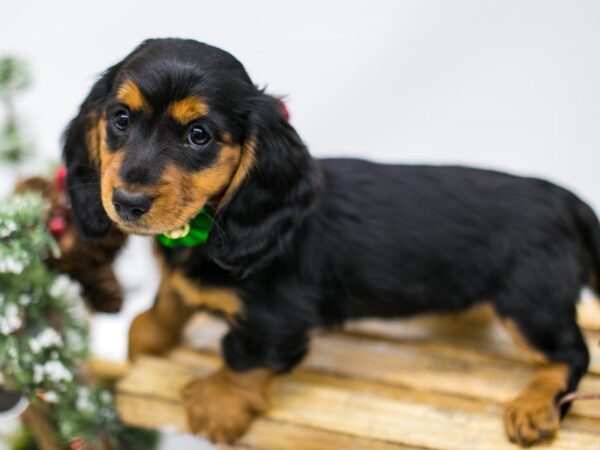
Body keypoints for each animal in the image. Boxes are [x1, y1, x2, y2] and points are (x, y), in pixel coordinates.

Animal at [62, 39, 600, 446]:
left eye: (199, 135)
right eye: (120, 118)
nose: (127, 203)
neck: (205, 227)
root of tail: (565, 199)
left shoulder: (279, 319)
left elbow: (245, 355)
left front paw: (216, 404)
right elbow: (163, 308)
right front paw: (148, 337)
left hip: (529, 302)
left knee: (572, 354)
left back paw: (533, 405)